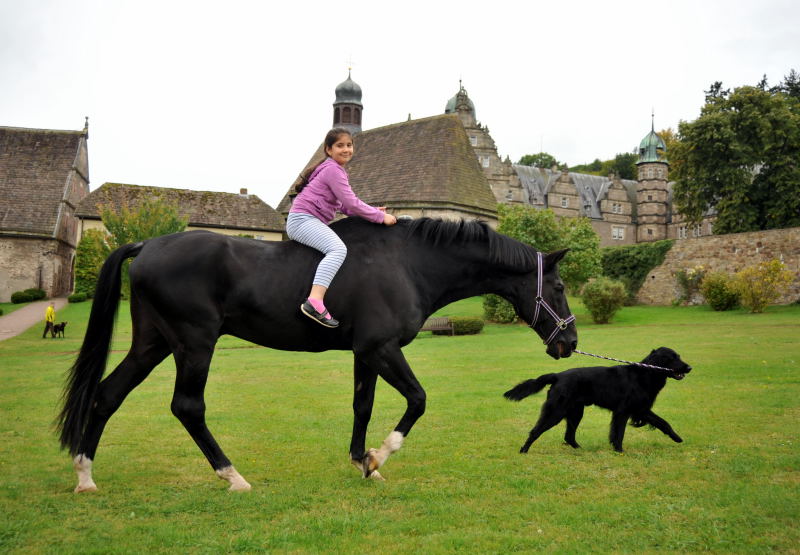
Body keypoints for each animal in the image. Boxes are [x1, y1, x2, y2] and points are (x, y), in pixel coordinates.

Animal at [57, 217, 576, 490]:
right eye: (560, 287)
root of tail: (147, 244)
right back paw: (232, 475)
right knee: (187, 406)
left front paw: (361, 461)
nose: (569, 343)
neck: (407, 263)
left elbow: (362, 405)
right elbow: (418, 400)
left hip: (153, 343)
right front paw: (379, 456)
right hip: (194, 345)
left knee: (107, 395)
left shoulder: (365, 353)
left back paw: (85, 474)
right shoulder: (381, 348)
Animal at [504, 350, 692, 454]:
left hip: (575, 412)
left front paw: (677, 438)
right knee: (535, 431)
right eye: (672, 357)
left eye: (679, 356)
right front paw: (619, 451)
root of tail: (557, 375)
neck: (645, 374)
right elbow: (619, 433)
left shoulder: (641, 409)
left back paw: (581, 450)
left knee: (569, 436)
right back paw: (524, 450)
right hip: (556, 411)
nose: (690, 368)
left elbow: (663, 423)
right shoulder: (623, 411)